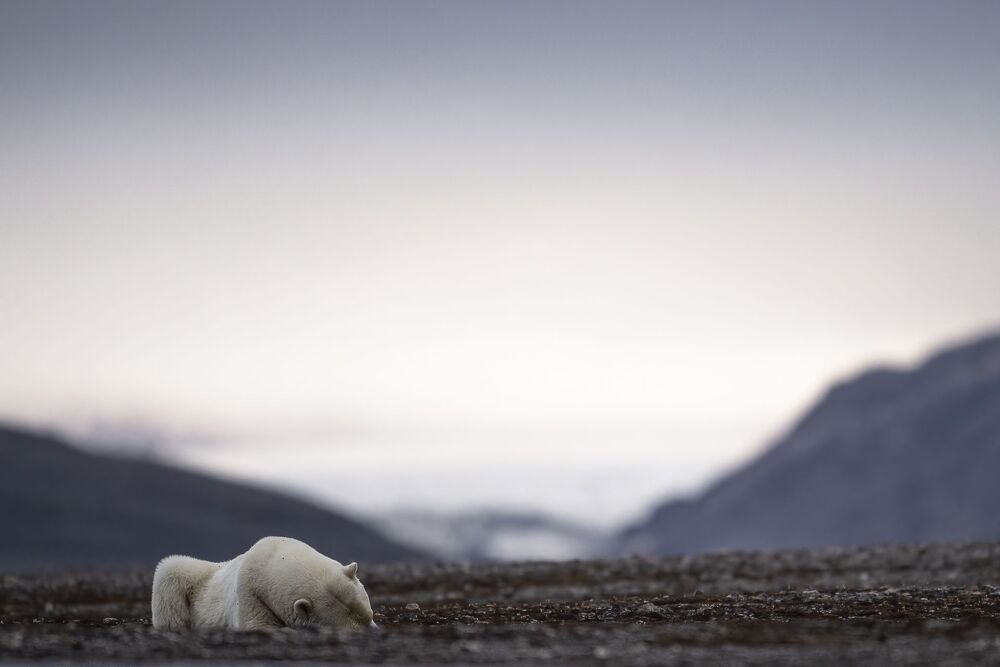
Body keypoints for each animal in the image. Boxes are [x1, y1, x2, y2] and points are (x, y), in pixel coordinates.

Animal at [151, 536, 377, 631]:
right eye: (348, 628)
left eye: (369, 615)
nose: (374, 631)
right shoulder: (250, 595)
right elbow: (257, 625)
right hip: (182, 577)